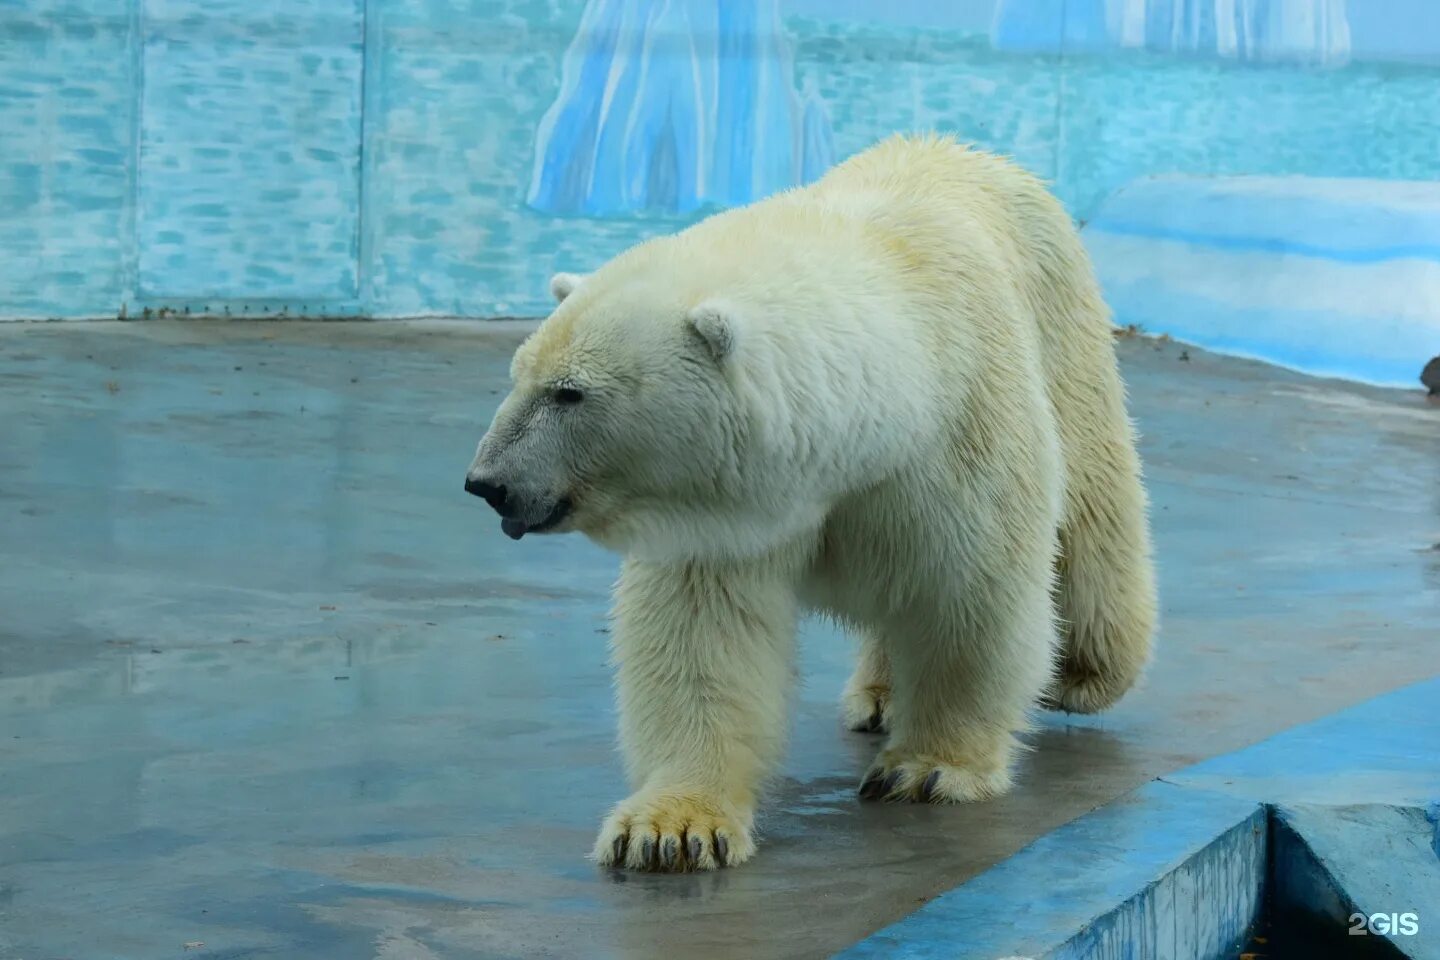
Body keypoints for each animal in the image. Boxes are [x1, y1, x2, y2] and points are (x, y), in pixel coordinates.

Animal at [463, 131, 1157, 875]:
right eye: (518, 376)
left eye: (570, 393)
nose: (487, 481)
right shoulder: (723, 507)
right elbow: (699, 635)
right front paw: (671, 828)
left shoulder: (960, 432)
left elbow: (971, 596)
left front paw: (927, 769)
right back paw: (880, 695)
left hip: (1062, 333)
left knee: (1090, 519)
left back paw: (1084, 670)